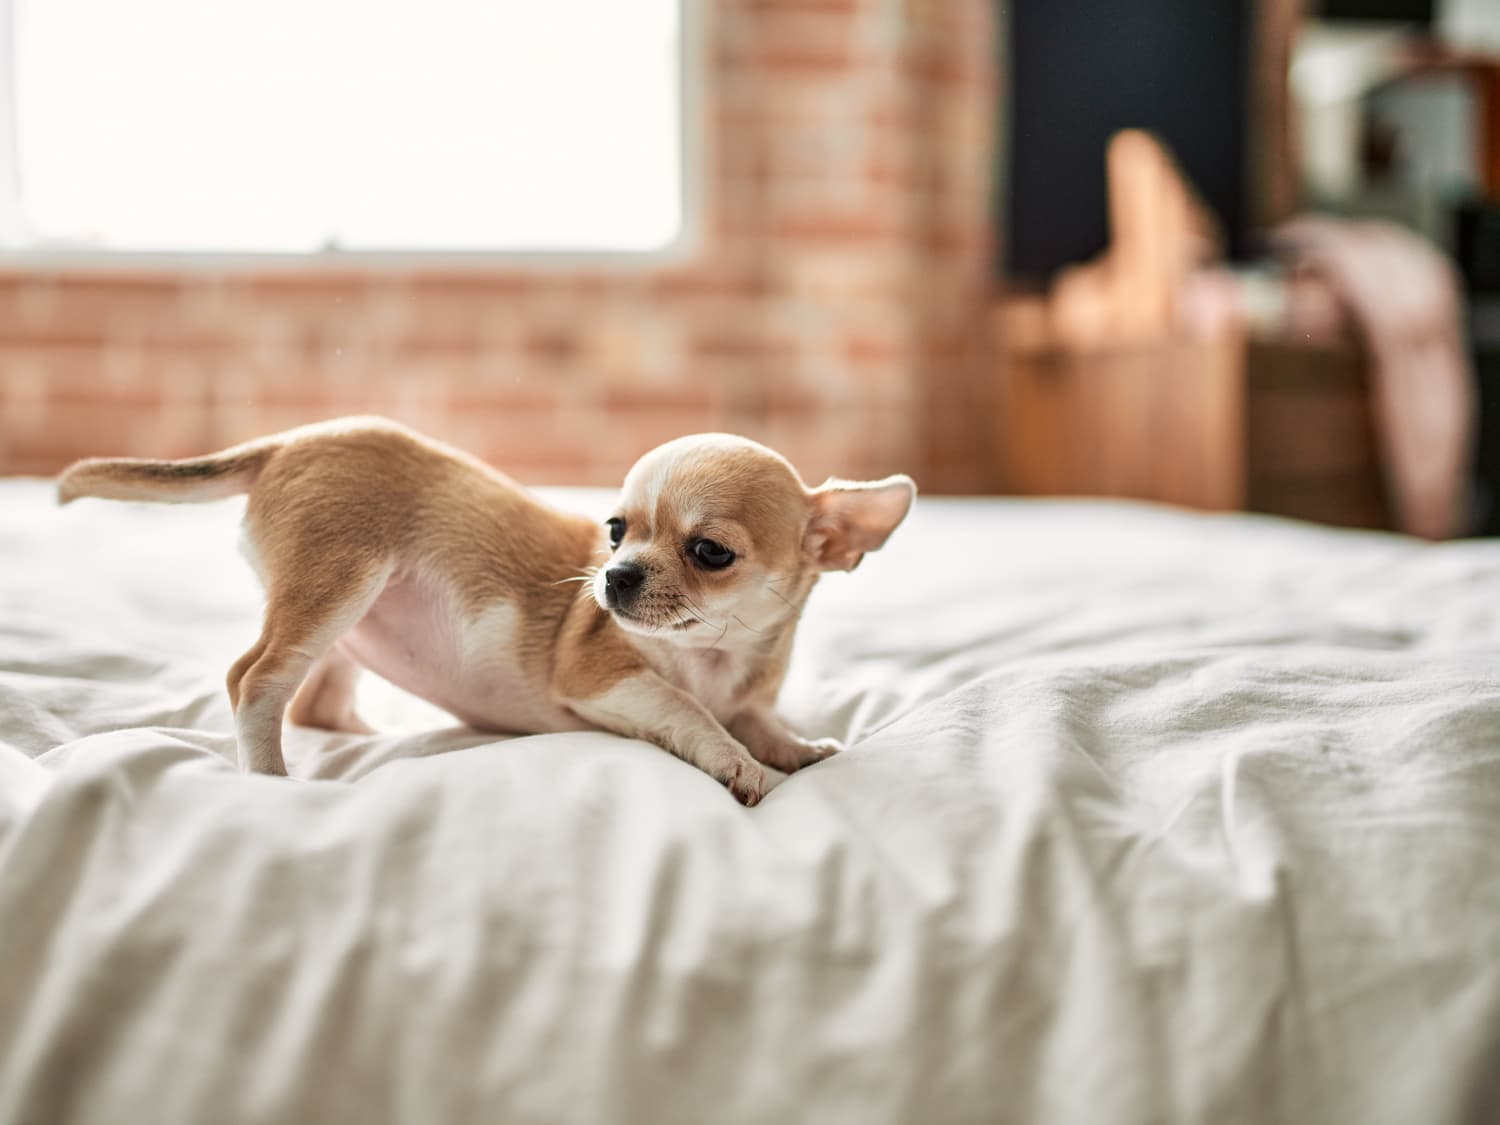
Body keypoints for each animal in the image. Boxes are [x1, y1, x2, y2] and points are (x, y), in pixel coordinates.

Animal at [55, 420, 912, 804]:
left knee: (319, 702)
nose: (613, 578)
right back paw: (273, 778)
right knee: (255, 679)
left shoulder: (747, 690)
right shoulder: (602, 677)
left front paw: (799, 749)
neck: (716, 652)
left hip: (349, 619)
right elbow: (690, 711)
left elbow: (761, 719)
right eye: (616, 530)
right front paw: (741, 764)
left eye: (709, 552)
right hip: (337, 585)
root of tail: (289, 440)